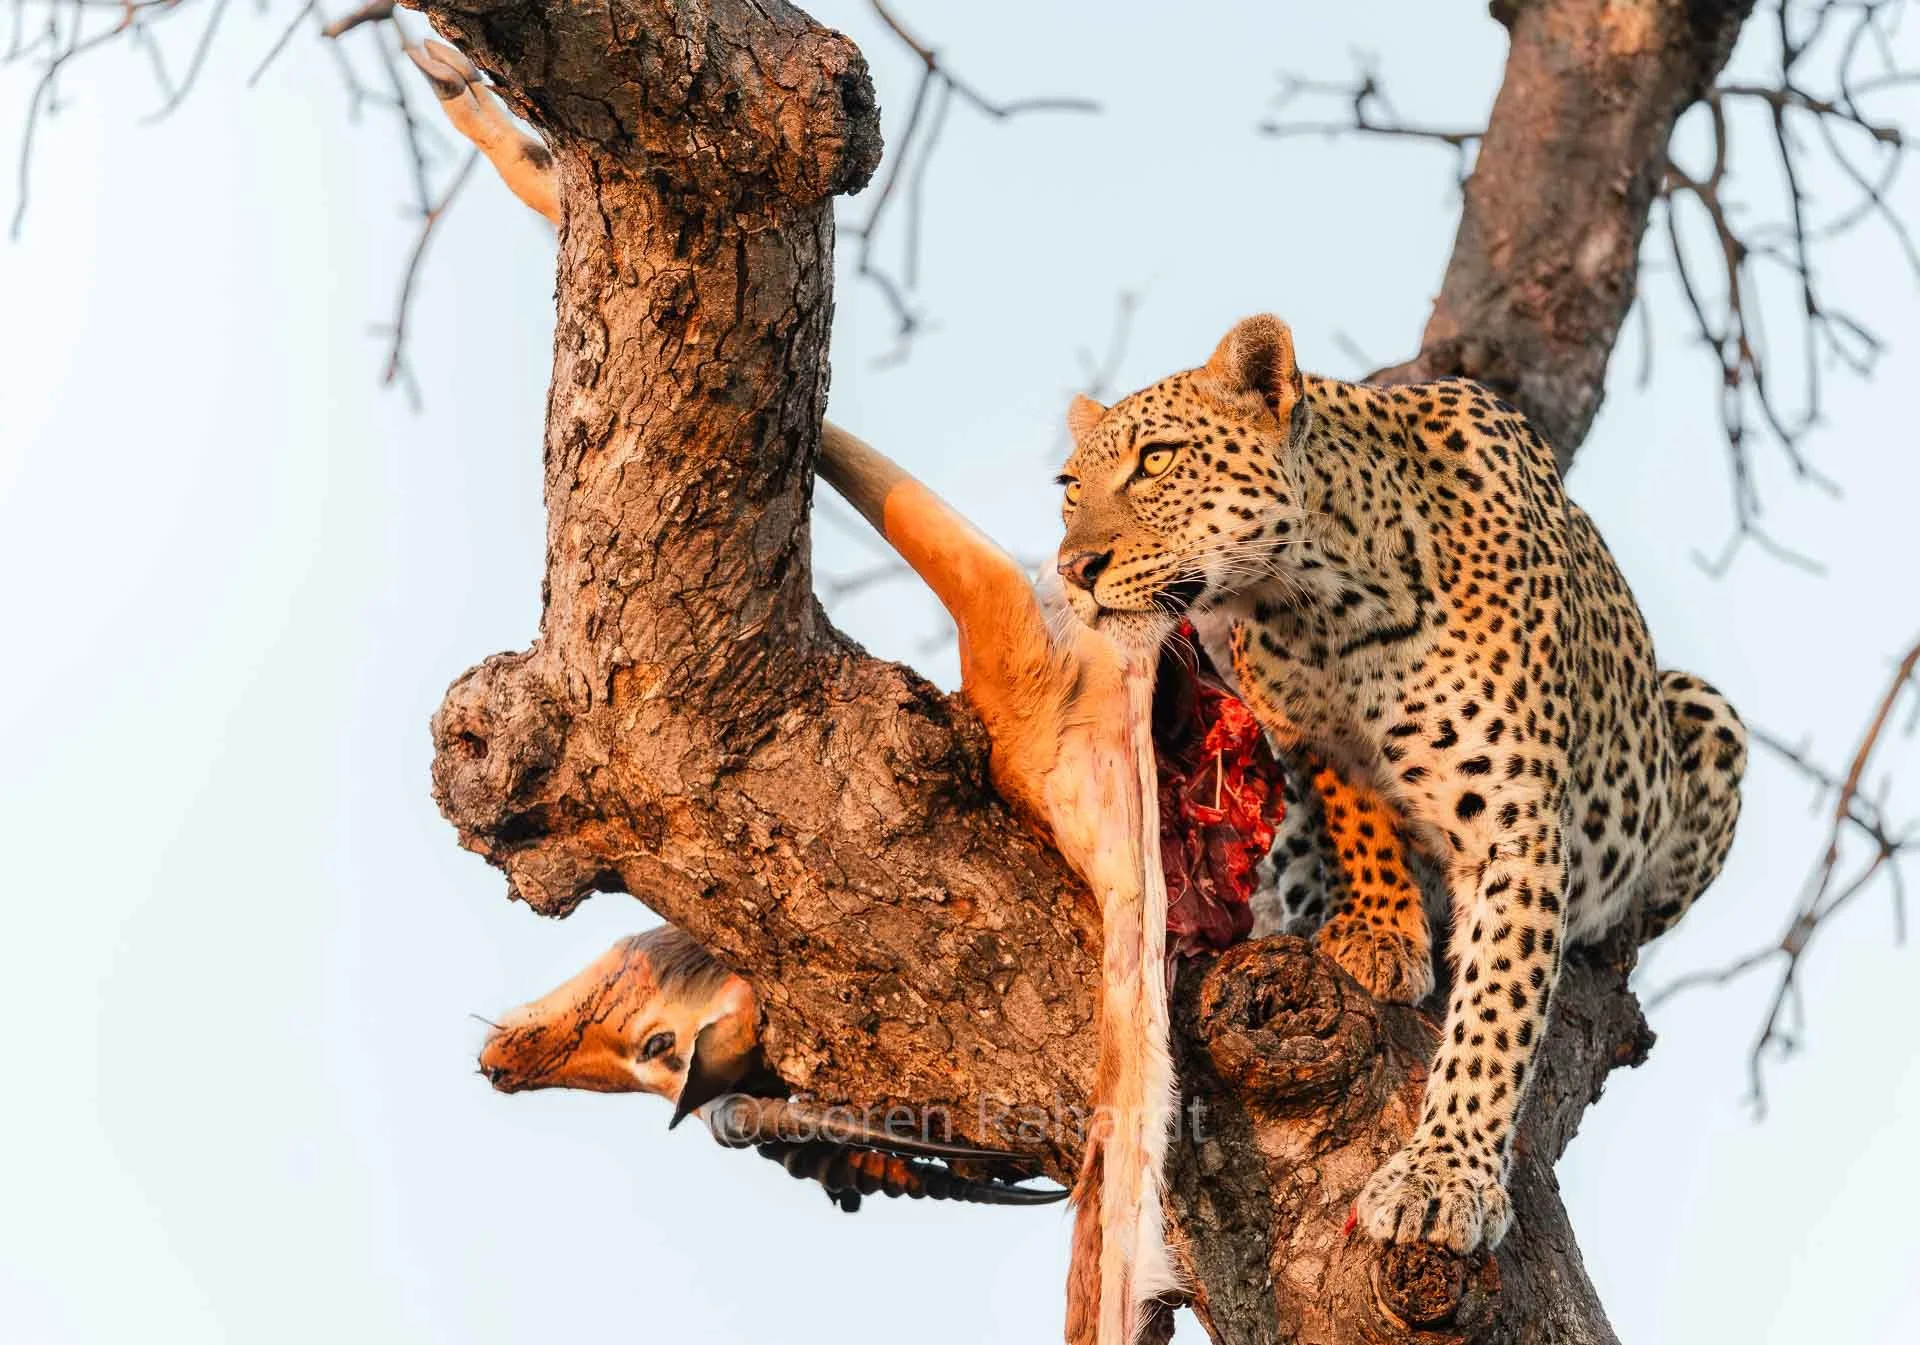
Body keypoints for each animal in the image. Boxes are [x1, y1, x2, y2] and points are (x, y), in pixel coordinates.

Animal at [1054, 314, 1746, 1255]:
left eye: (1157, 460)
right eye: (1068, 489)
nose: (1074, 567)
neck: (1327, 603)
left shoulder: (1516, 824)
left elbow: (1497, 1009)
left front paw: (1443, 1173)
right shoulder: (1307, 736)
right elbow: (1358, 817)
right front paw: (1378, 931)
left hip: (1701, 714)